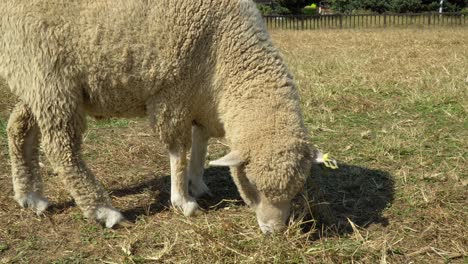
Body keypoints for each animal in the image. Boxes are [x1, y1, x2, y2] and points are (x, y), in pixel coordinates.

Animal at [0, 0, 314, 233]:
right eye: (253, 185)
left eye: (298, 188)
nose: (275, 230)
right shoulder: (173, 92)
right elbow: (179, 149)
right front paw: (183, 201)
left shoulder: (200, 97)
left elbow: (201, 143)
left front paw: (197, 183)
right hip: (50, 75)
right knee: (61, 148)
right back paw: (104, 211)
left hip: (35, 80)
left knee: (18, 128)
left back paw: (30, 197)